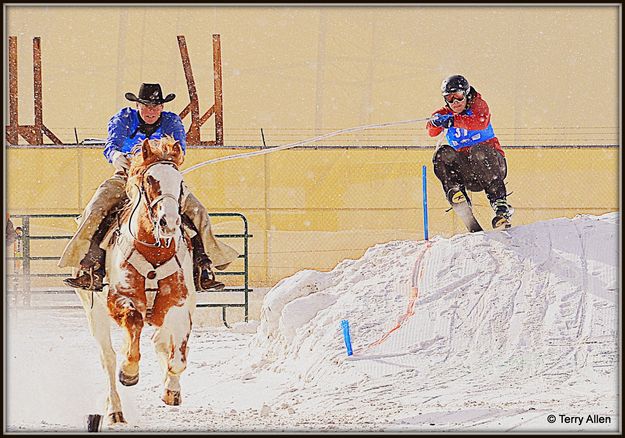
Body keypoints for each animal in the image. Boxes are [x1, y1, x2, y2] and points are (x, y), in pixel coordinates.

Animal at [76, 138, 197, 432]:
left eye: (180, 181)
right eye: (151, 179)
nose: (169, 222)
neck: (154, 250)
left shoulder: (179, 305)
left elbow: (178, 357)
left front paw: (171, 389)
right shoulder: (119, 300)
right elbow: (133, 322)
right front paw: (129, 371)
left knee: (159, 341)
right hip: (93, 312)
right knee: (107, 358)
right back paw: (115, 410)